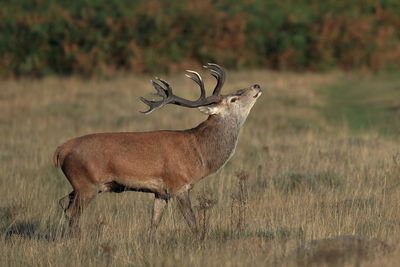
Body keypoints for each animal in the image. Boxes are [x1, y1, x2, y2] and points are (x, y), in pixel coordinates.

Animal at [54, 63, 262, 236]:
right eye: (233, 99)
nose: (256, 86)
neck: (198, 152)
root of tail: (60, 151)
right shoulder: (178, 183)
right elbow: (192, 221)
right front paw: (200, 240)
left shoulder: (162, 191)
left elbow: (154, 223)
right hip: (86, 182)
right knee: (72, 213)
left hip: (86, 185)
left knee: (63, 202)